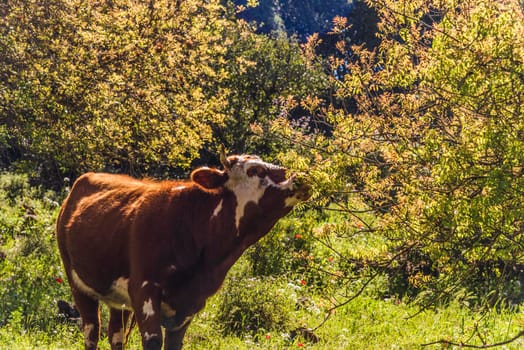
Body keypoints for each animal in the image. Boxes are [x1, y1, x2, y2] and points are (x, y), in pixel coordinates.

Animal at [56, 151, 312, 350]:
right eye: (255, 170)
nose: (302, 178)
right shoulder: (144, 289)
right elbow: (152, 341)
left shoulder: (192, 301)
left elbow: (173, 344)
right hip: (78, 284)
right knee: (92, 332)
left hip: (117, 299)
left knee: (116, 335)